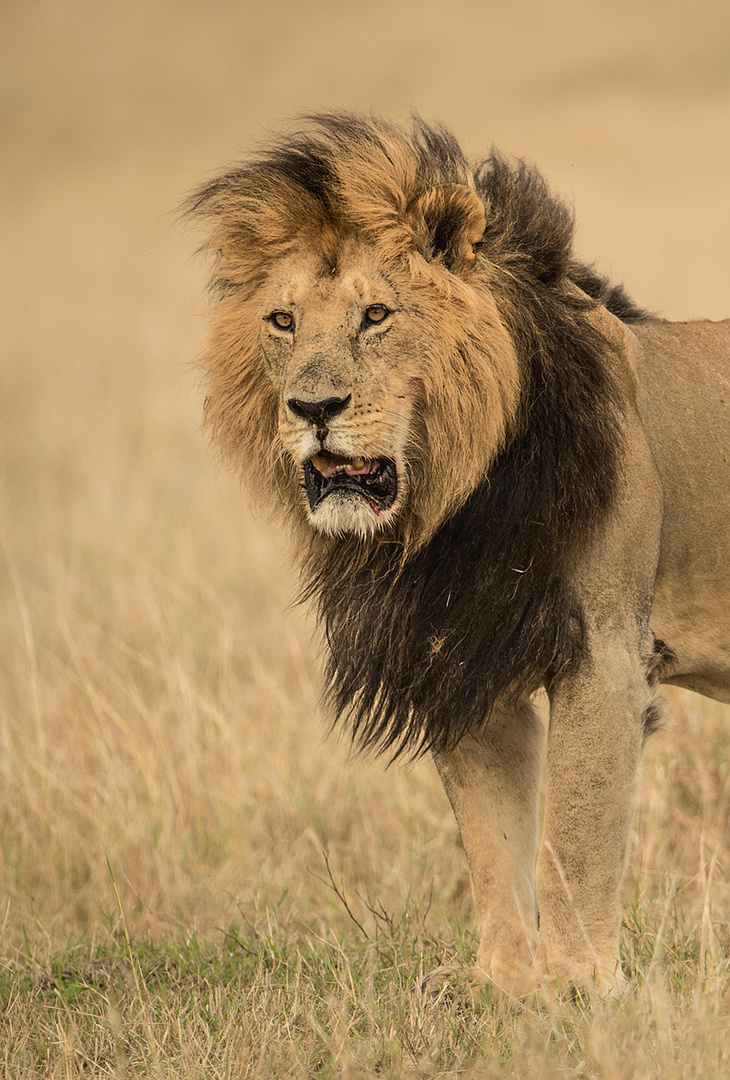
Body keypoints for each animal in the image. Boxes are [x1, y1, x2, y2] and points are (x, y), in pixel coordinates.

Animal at [186, 111, 730, 993]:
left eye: (376, 315)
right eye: (283, 322)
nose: (311, 407)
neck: (450, 503)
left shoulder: (603, 656)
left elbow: (576, 841)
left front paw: (582, 988)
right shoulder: (462, 655)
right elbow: (493, 839)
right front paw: (503, 986)